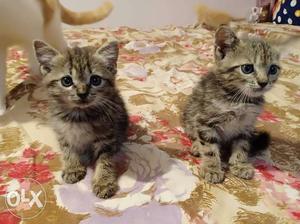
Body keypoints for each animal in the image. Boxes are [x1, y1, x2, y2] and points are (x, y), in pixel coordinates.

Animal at [33, 40, 129, 198]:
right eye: (66, 81)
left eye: (95, 80)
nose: (82, 93)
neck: (79, 115)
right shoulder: (62, 132)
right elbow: (68, 151)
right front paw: (73, 167)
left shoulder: (107, 136)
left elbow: (105, 159)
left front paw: (103, 182)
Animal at [182, 26, 280, 184]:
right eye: (247, 68)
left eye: (273, 69)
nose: (263, 82)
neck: (240, 100)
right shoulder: (205, 120)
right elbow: (209, 147)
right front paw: (212, 168)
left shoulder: (246, 126)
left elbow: (242, 146)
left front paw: (239, 164)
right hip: (190, 115)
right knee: (194, 134)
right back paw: (197, 146)